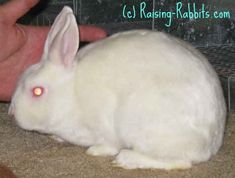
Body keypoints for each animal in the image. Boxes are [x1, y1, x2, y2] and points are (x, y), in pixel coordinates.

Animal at [8, 5, 226, 170]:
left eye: (37, 91)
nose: (11, 113)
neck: (70, 94)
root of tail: (212, 144)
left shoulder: (103, 125)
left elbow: (108, 144)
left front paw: (96, 150)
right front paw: (56, 137)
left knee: (181, 162)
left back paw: (126, 159)